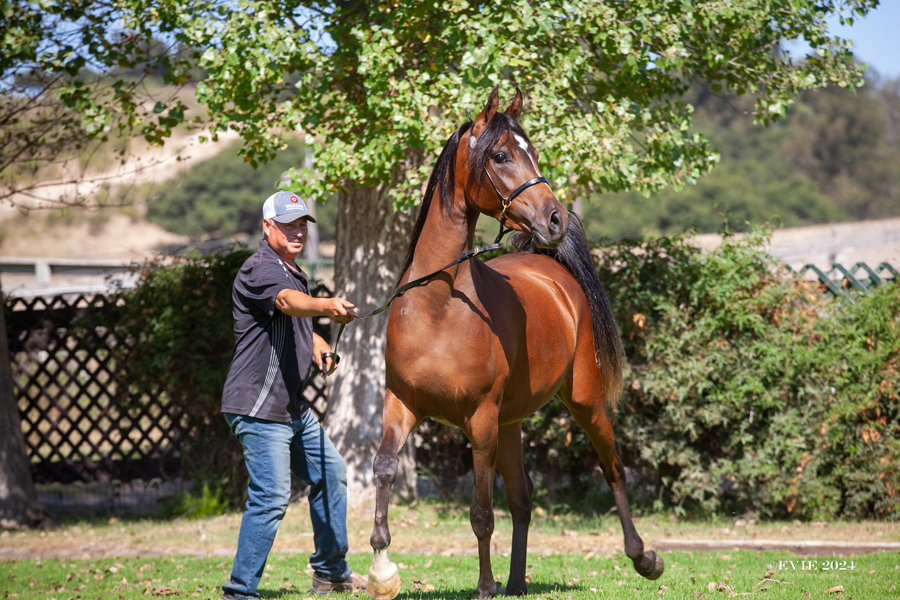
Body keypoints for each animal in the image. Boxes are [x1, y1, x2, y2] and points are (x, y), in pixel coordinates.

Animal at [364, 85, 660, 600]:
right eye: (501, 156)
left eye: (533, 152)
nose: (554, 218)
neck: (438, 307)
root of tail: (553, 270)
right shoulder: (401, 403)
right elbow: (384, 466)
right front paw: (382, 570)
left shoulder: (480, 419)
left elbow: (482, 513)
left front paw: (483, 587)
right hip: (510, 423)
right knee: (523, 497)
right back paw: (517, 581)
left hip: (582, 401)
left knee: (613, 468)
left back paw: (643, 557)